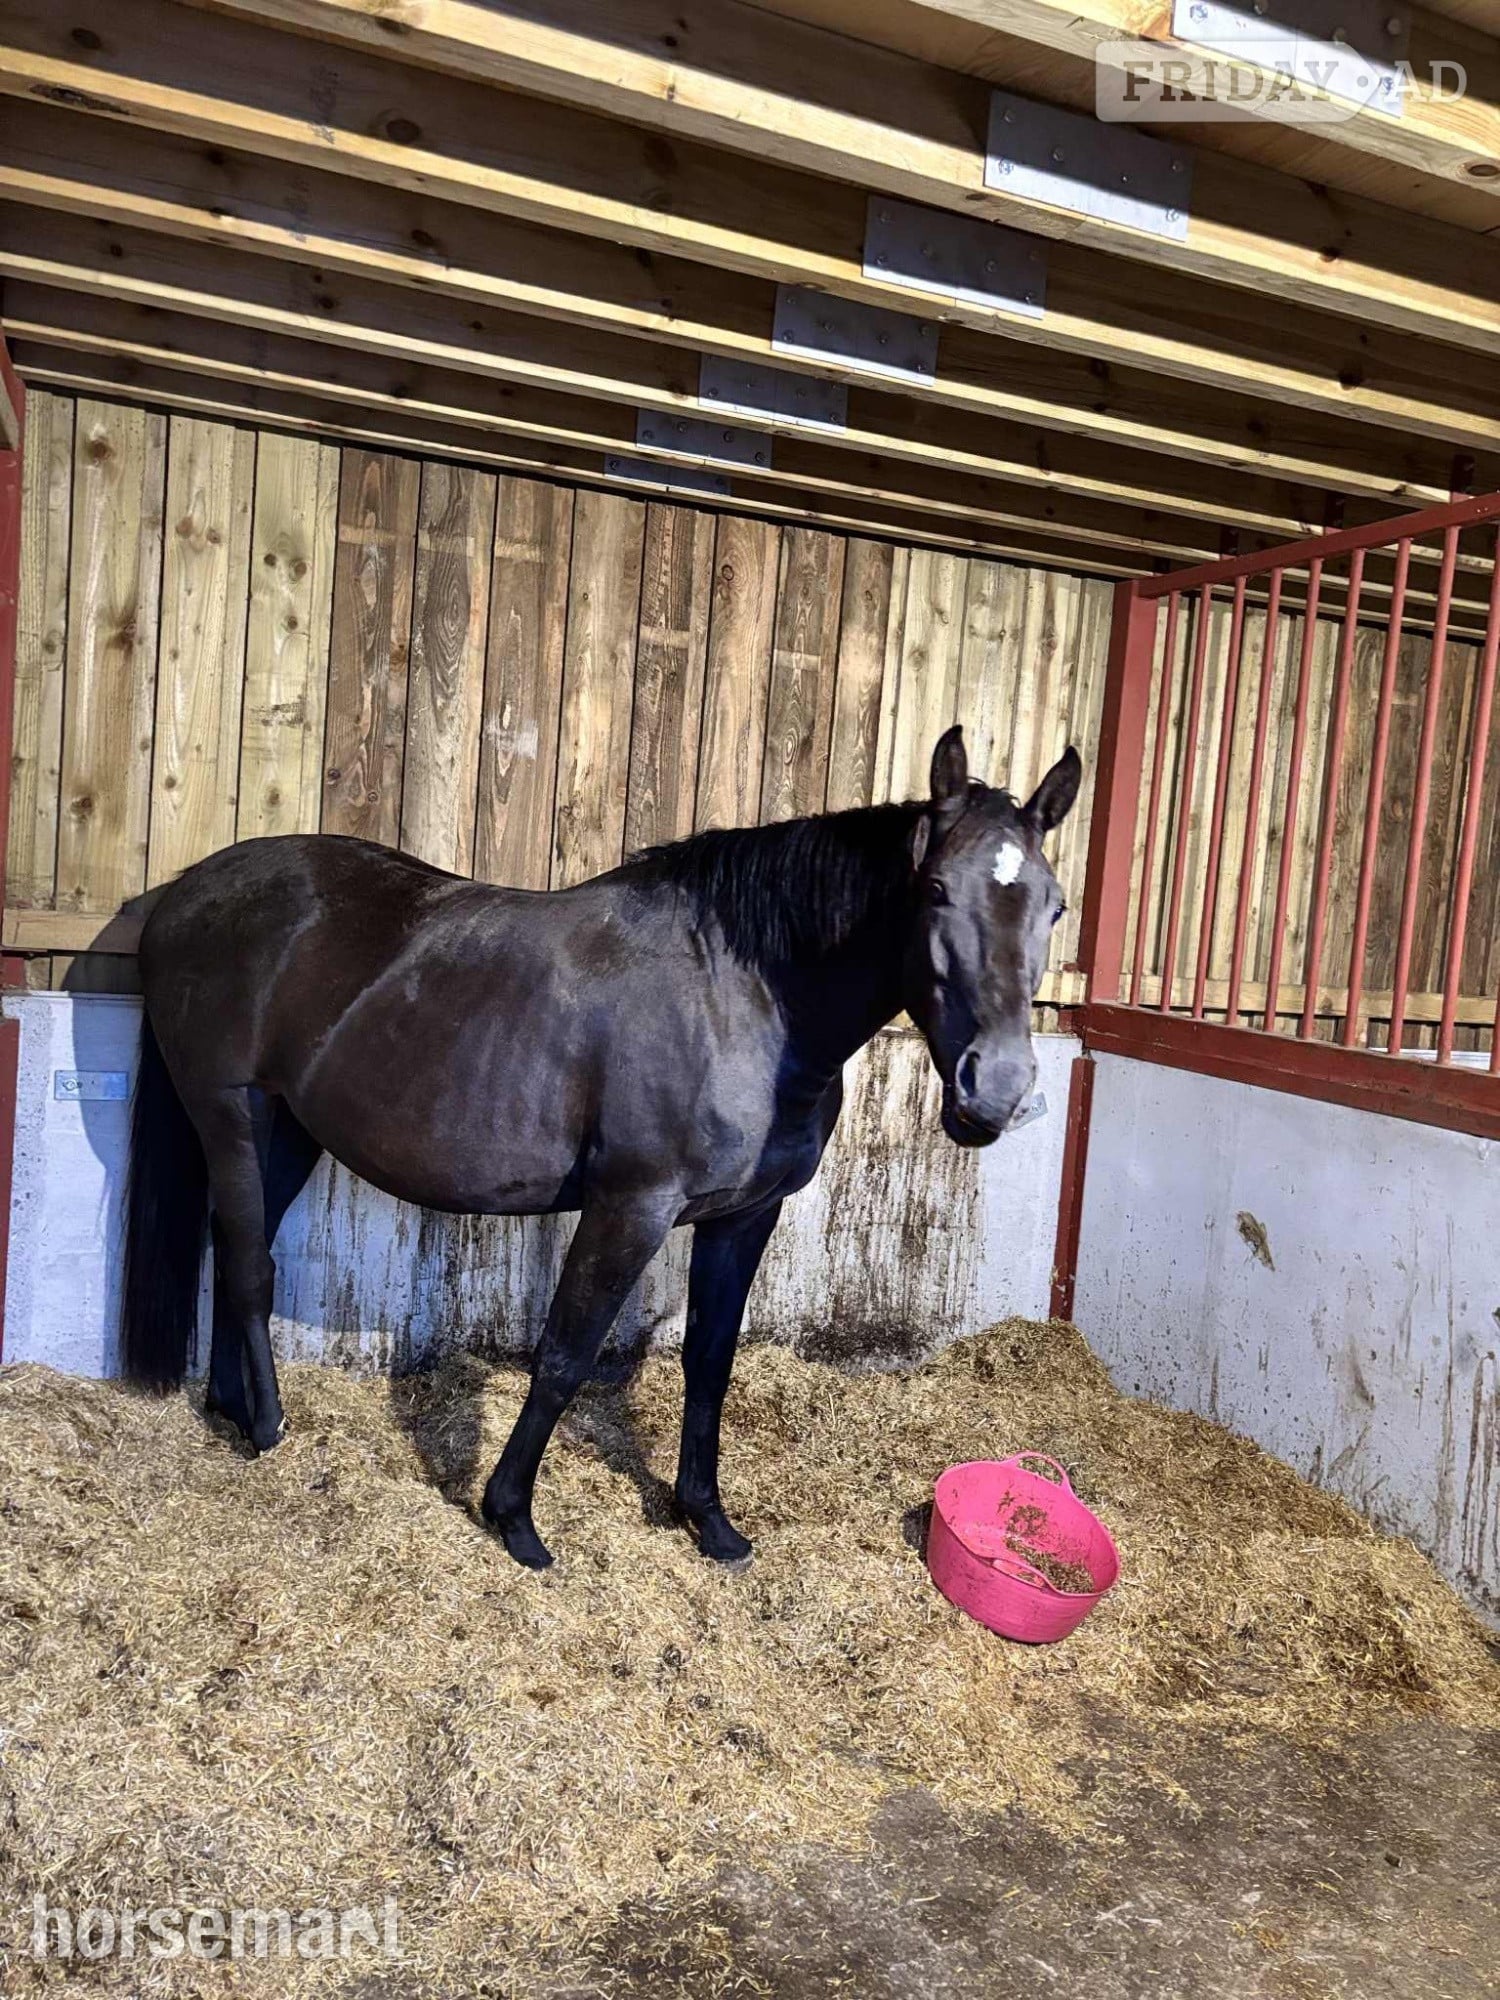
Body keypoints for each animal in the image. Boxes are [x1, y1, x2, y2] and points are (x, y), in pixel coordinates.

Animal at [121, 726, 1081, 1568]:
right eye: (934, 890)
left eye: (1055, 904)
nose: (994, 1090)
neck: (744, 998)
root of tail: (186, 894)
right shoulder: (631, 1208)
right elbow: (564, 1355)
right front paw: (513, 1519)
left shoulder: (745, 1217)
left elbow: (709, 1360)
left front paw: (708, 1522)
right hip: (229, 1109)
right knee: (250, 1263)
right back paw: (270, 1430)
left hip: (288, 1126)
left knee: (233, 1245)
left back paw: (232, 1408)